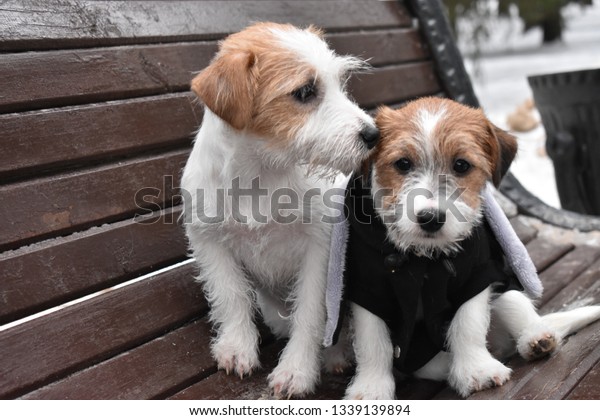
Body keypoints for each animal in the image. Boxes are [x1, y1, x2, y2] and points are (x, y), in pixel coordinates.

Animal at [180, 23, 378, 398]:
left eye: (339, 83)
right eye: (305, 92)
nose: (374, 134)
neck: (262, 172)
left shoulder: (319, 249)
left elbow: (311, 313)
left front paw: (296, 370)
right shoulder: (209, 240)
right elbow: (231, 295)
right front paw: (237, 348)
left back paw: (335, 356)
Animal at [342, 97, 600, 398]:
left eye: (461, 165)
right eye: (403, 163)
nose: (431, 218)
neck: (424, 256)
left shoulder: (476, 276)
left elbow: (467, 324)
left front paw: (478, 370)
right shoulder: (368, 291)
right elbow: (373, 342)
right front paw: (371, 388)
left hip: (504, 291)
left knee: (520, 308)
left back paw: (537, 339)